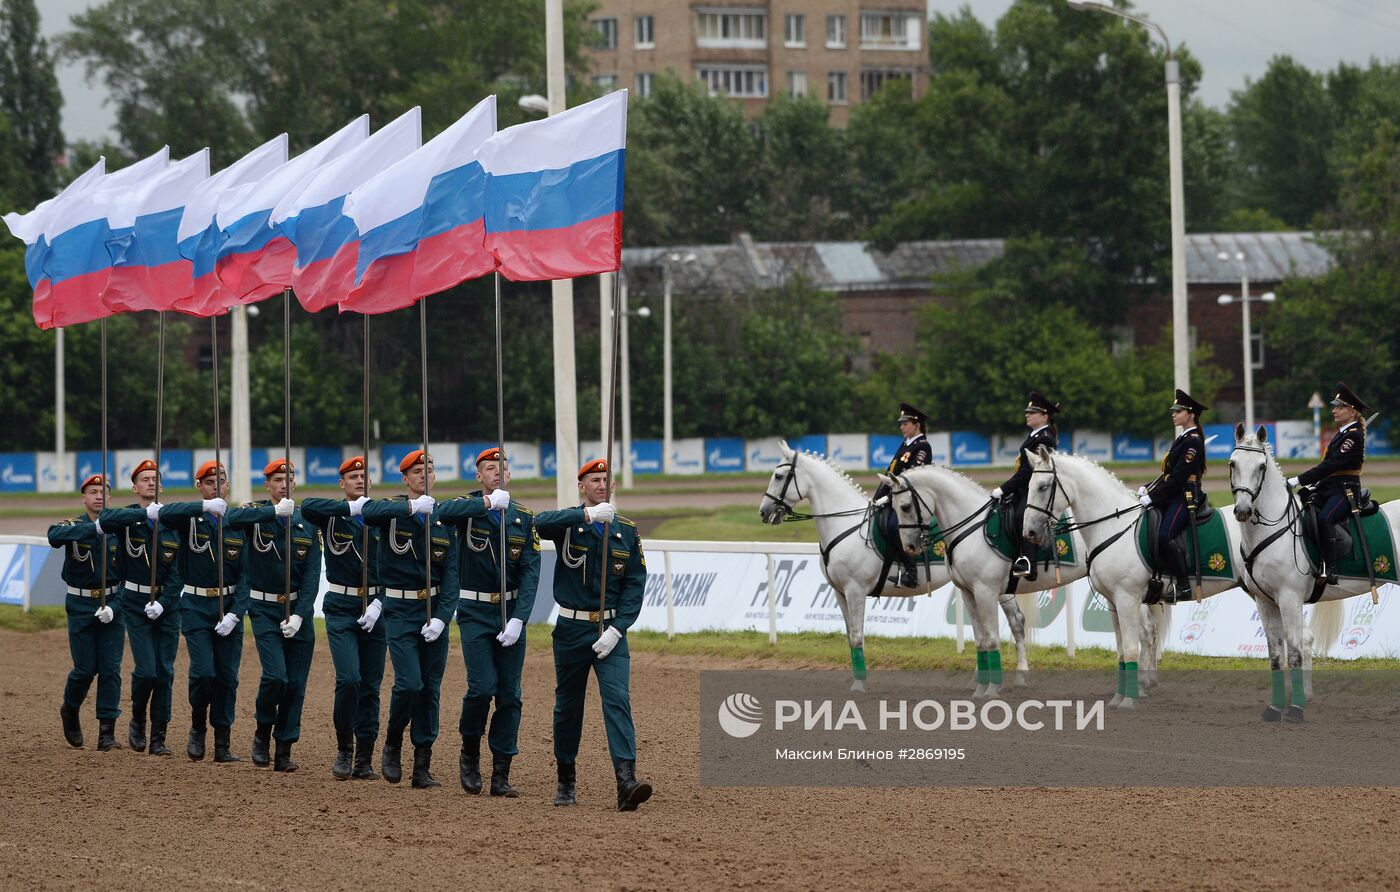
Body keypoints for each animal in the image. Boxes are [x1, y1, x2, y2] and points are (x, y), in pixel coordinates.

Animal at [761, 439, 991, 688]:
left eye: (779, 476)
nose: (763, 512)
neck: (845, 524)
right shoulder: (839, 593)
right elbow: (850, 636)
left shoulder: (855, 591)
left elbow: (857, 636)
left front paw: (860, 684)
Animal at [879, 462, 1086, 700]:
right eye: (894, 507)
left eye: (905, 507)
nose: (910, 547)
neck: (970, 528)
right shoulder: (968, 593)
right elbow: (980, 640)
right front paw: (979, 688)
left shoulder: (986, 592)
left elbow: (991, 638)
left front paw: (992, 688)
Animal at [1013, 448, 1254, 705]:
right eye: (1029, 485)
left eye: (1043, 486)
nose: (1029, 532)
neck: (1113, 526)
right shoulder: (1113, 602)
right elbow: (1120, 650)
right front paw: (1119, 697)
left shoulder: (1127, 599)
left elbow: (1130, 649)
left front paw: (1128, 701)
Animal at [1232, 420, 1372, 722]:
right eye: (1232, 463)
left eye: (1261, 466)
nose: (1242, 510)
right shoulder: (1265, 601)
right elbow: (1276, 655)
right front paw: (1275, 708)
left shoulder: (1290, 598)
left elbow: (1295, 650)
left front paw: (1295, 710)